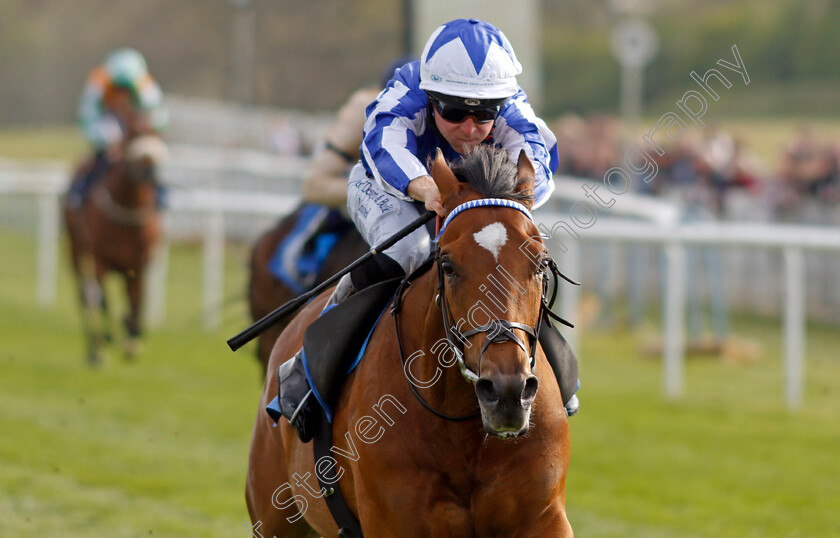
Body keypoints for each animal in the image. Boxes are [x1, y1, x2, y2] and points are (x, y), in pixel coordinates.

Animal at [64, 133, 169, 364]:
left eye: (156, 131)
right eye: (132, 135)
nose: (149, 172)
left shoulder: (139, 264)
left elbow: (137, 299)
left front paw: (133, 338)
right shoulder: (98, 259)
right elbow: (102, 298)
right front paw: (108, 338)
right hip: (75, 250)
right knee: (83, 294)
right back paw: (95, 349)